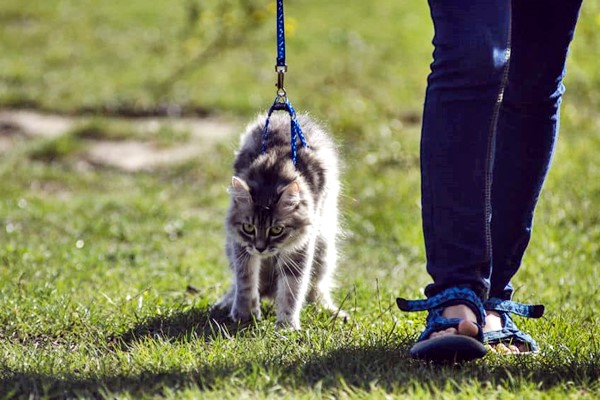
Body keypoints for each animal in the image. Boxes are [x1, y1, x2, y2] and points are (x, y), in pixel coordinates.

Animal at [212, 111, 344, 328]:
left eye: (276, 230)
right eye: (249, 228)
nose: (260, 248)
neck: (273, 167)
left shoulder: (300, 249)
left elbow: (292, 290)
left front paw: (286, 325)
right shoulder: (241, 246)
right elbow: (245, 281)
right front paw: (244, 314)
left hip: (324, 248)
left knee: (317, 288)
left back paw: (330, 310)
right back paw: (228, 302)